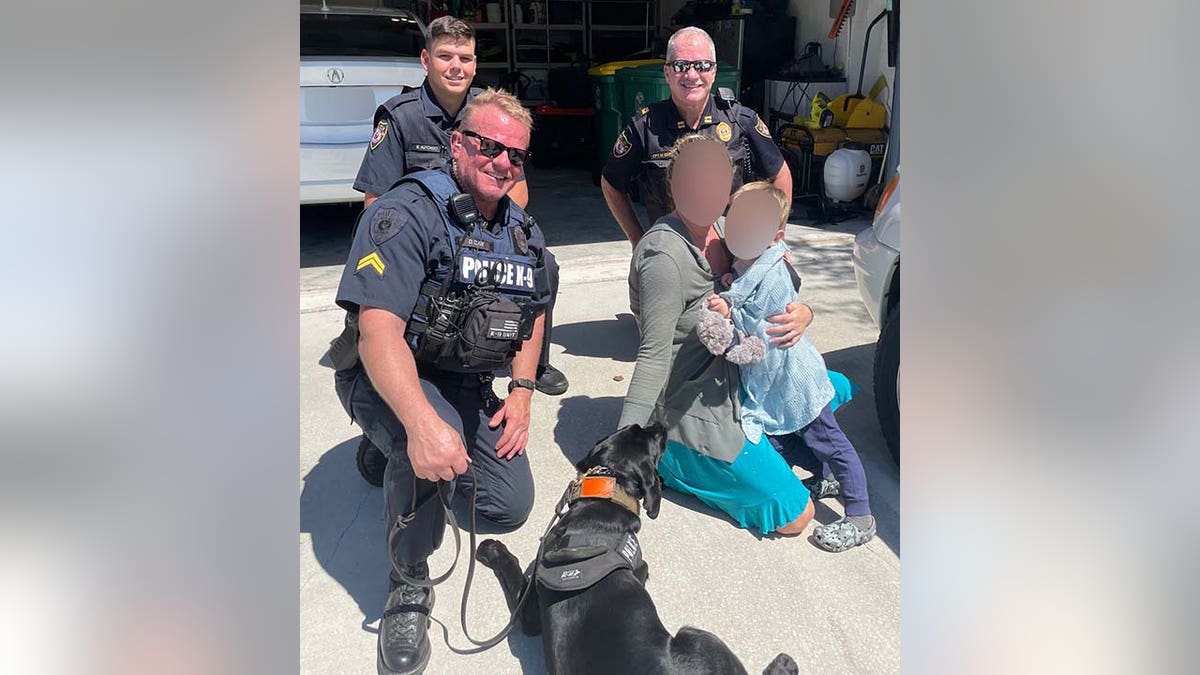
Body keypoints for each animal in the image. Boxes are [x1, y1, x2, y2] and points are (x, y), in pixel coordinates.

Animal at [475, 420, 796, 672]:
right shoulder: (640, 568)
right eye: (649, 436)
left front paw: (490, 550)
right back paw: (784, 664)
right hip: (697, 635)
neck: (602, 501)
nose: (661, 423)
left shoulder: (531, 611)